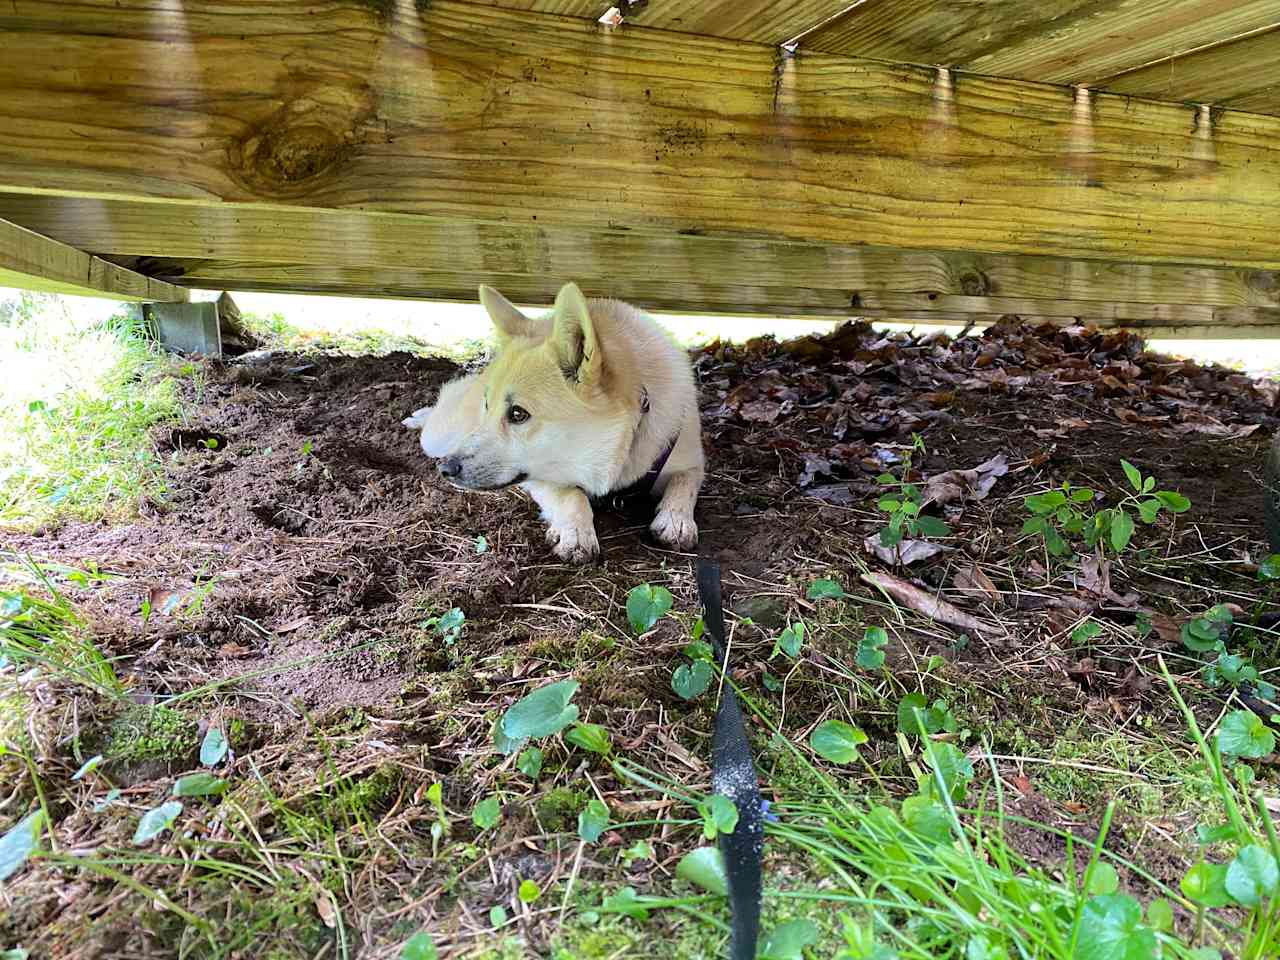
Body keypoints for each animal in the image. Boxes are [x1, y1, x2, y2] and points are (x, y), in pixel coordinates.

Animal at [401, 280, 706, 563]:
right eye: (488, 406)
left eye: (518, 414)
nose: (446, 469)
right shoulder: (539, 475)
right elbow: (570, 495)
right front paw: (576, 532)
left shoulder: (690, 458)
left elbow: (685, 481)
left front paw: (676, 519)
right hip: (441, 436)